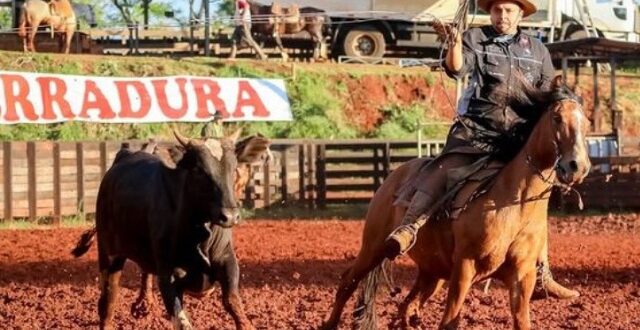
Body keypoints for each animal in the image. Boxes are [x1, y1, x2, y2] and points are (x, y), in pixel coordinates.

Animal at [322, 75, 592, 330]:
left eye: (587, 123)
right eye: (557, 118)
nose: (577, 166)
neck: (514, 206)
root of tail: (394, 177)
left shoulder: (522, 277)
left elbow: (521, 322)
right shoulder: (464, 267)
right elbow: (449, 321)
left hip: (432, 272)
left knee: (407, 306)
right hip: (374, 246)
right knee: (348, 282)